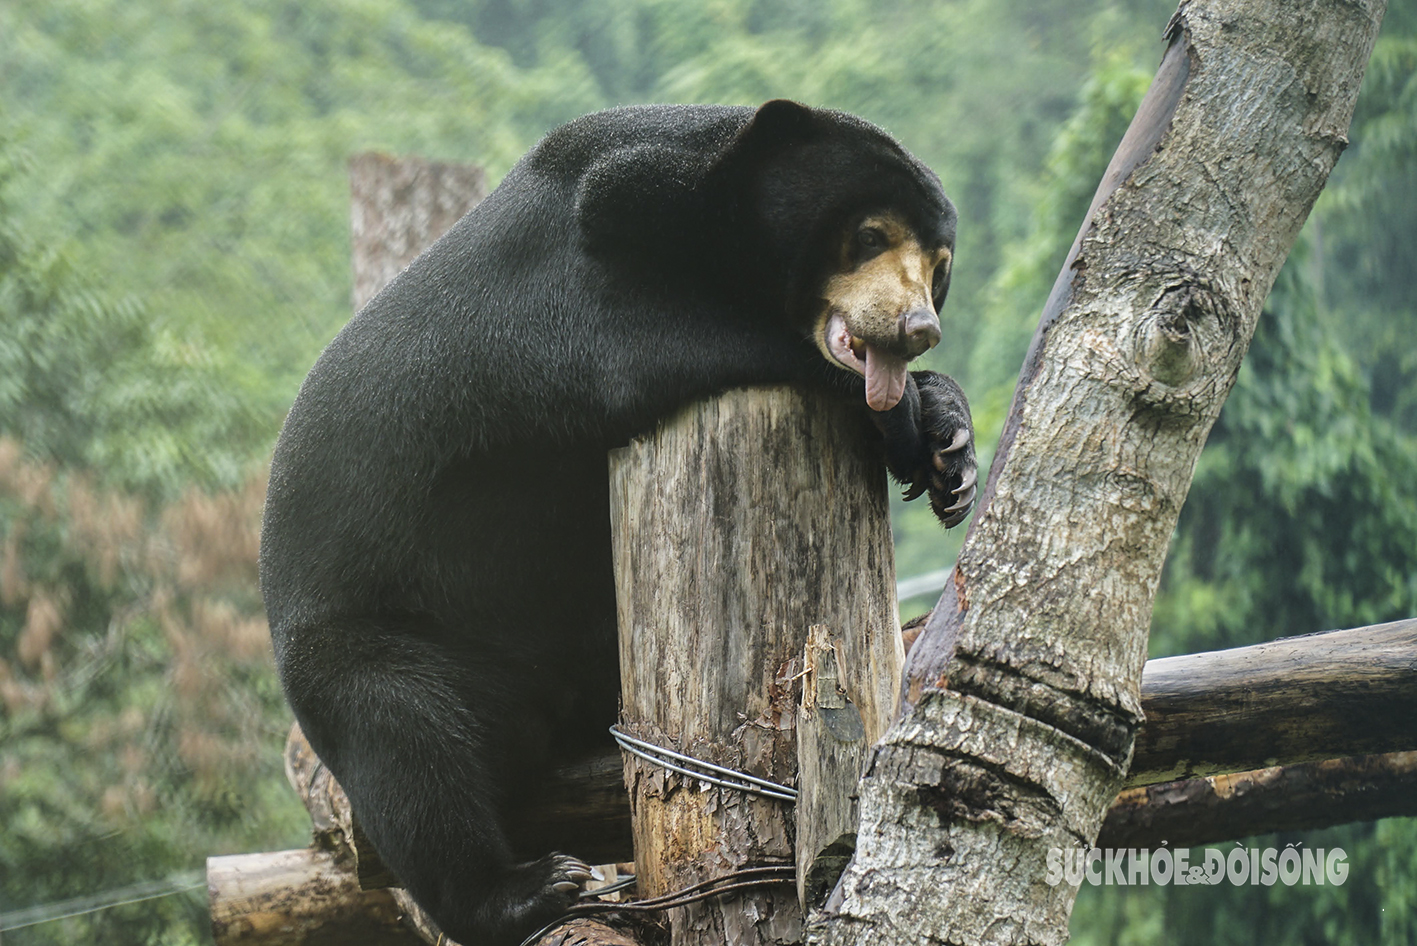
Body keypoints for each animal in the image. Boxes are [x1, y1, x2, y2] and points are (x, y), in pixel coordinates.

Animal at [257, 99, 974, 940]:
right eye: (867, 234)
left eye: (938, 265)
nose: (916, 326)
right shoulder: (576, 268)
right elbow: (640, 352)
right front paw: (904, 420)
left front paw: (950, 452)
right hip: (368, 635)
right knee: (406, 743)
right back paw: (533, 886)